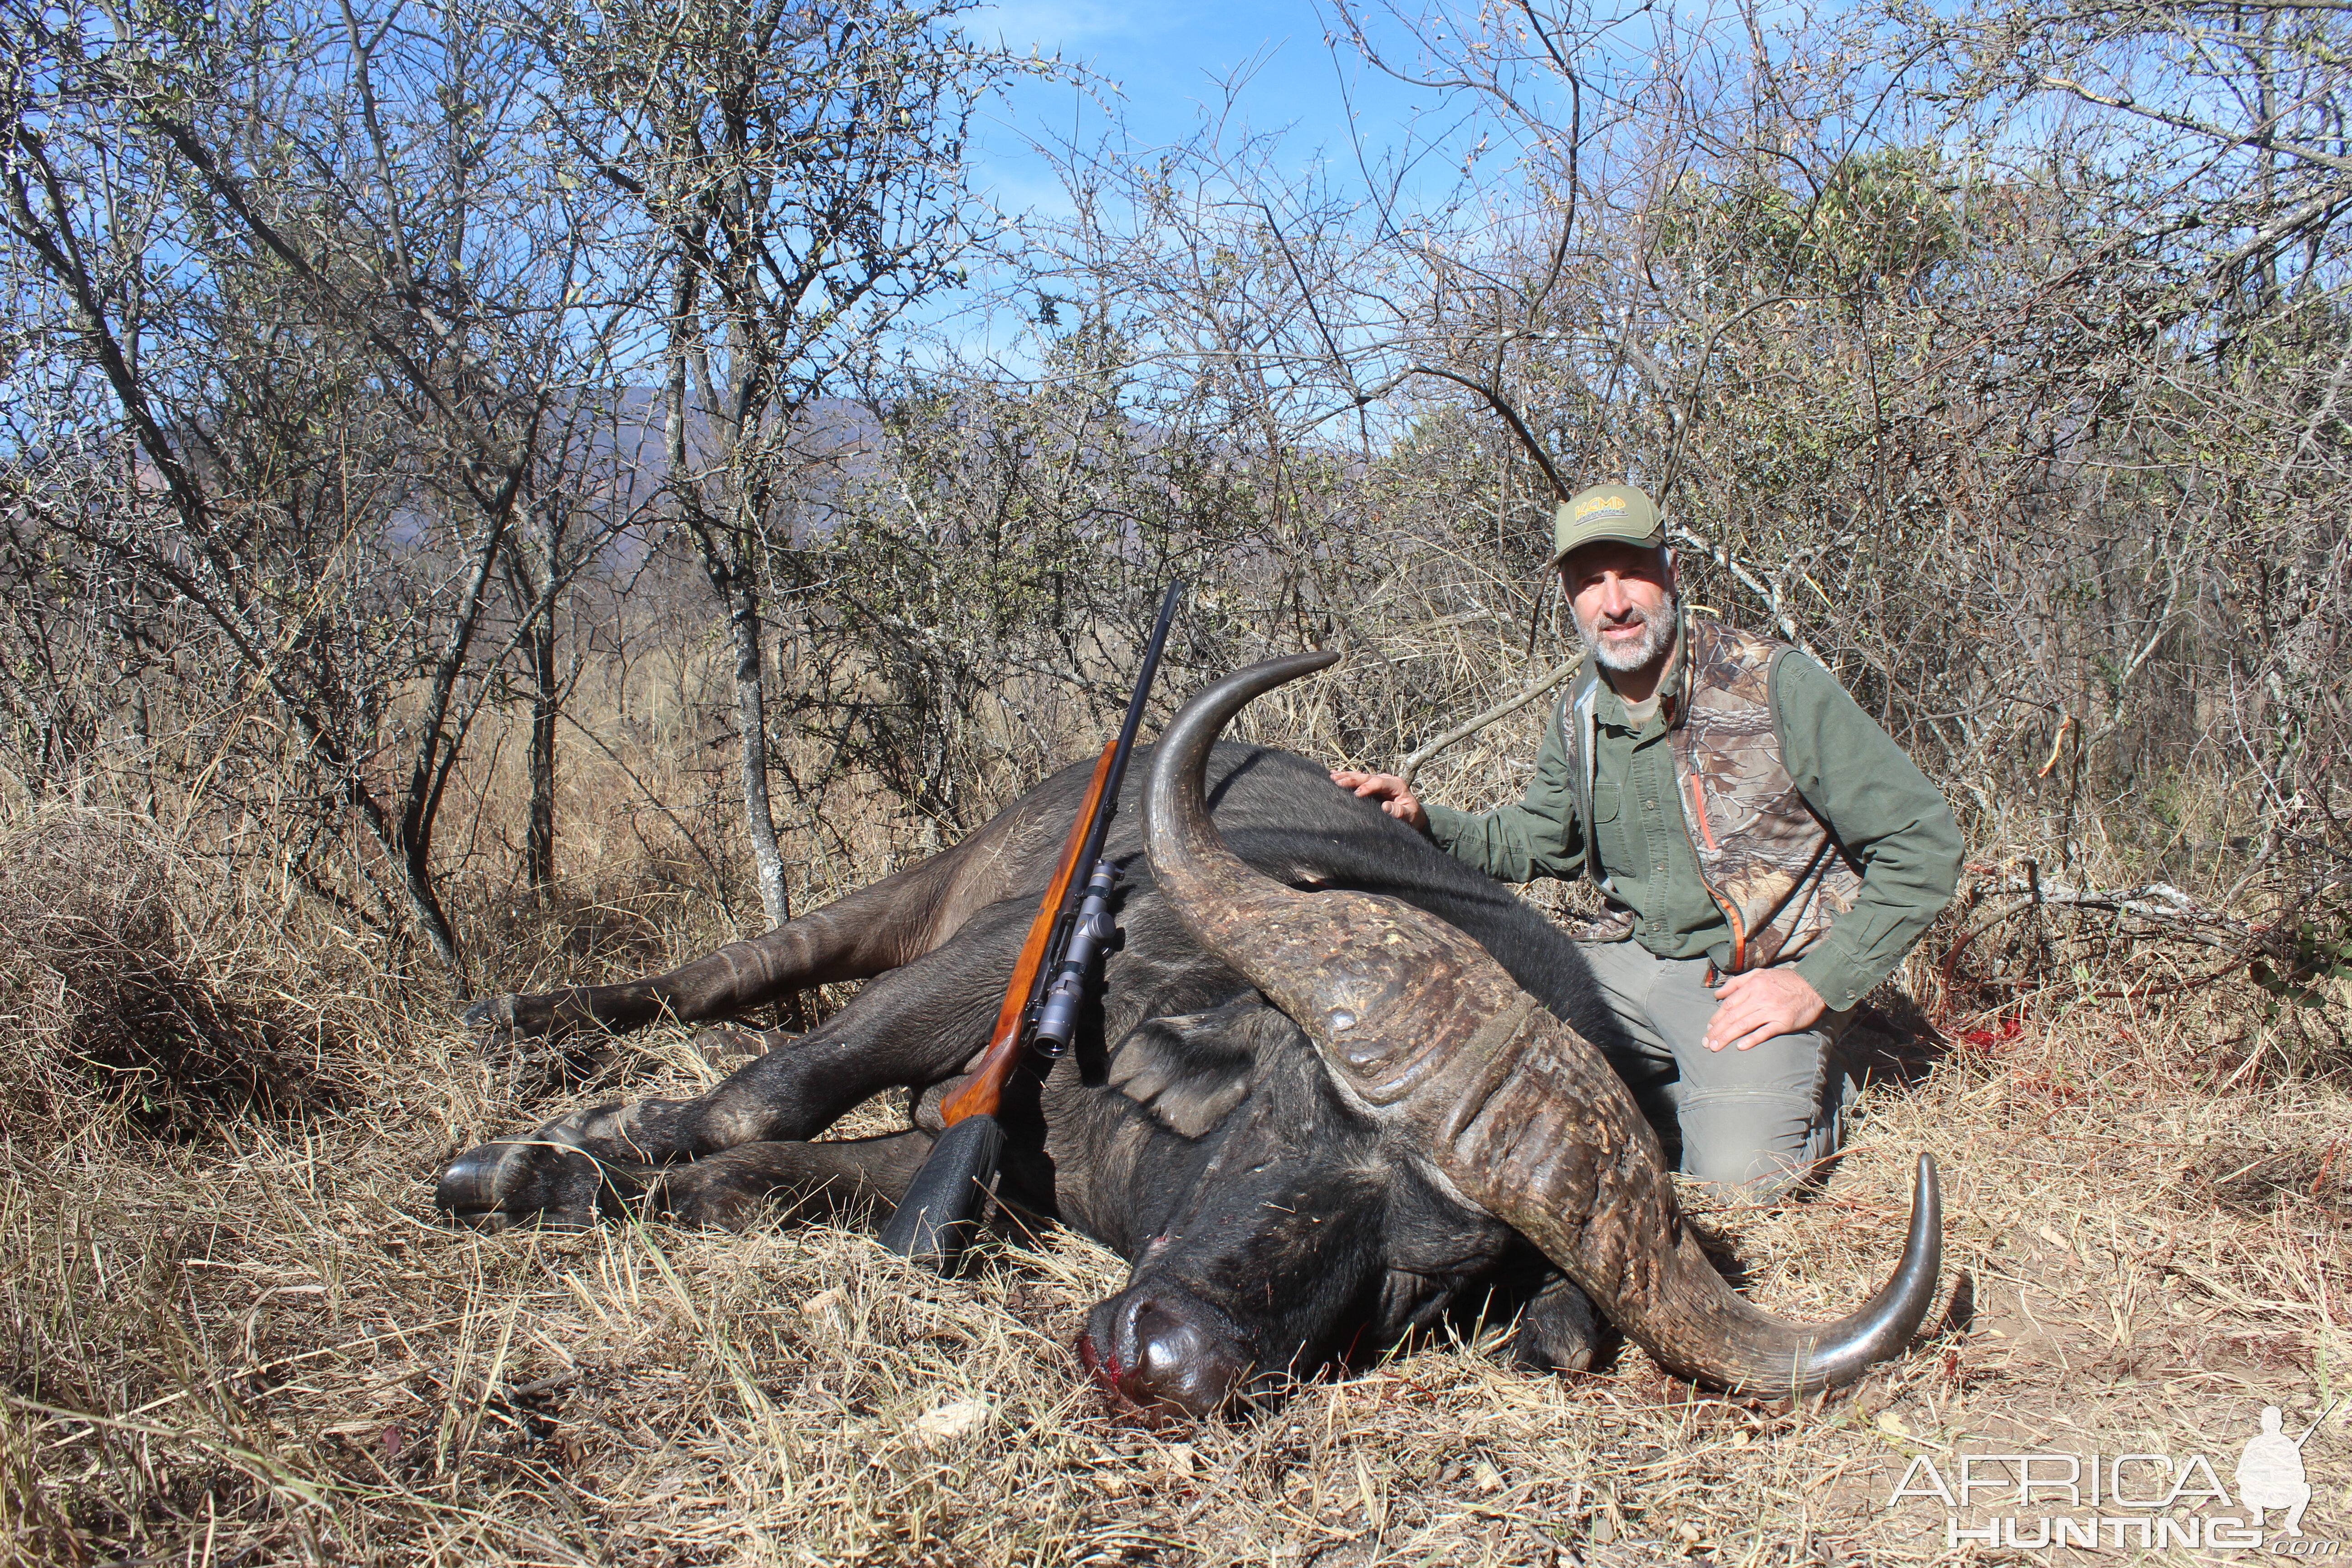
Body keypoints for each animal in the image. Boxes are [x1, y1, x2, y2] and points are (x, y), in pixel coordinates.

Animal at [437, 658, 1928, 1420]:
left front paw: (569, 1179)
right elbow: (766, 1099)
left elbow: (763, 1180)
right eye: (1286, 1110)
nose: (1164, 1354)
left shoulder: (974, 1171)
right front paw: (531, 1159)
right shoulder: (983, 974)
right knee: (729, 974)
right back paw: (520, 1021)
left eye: (1434, 1271)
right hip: (913, 898)